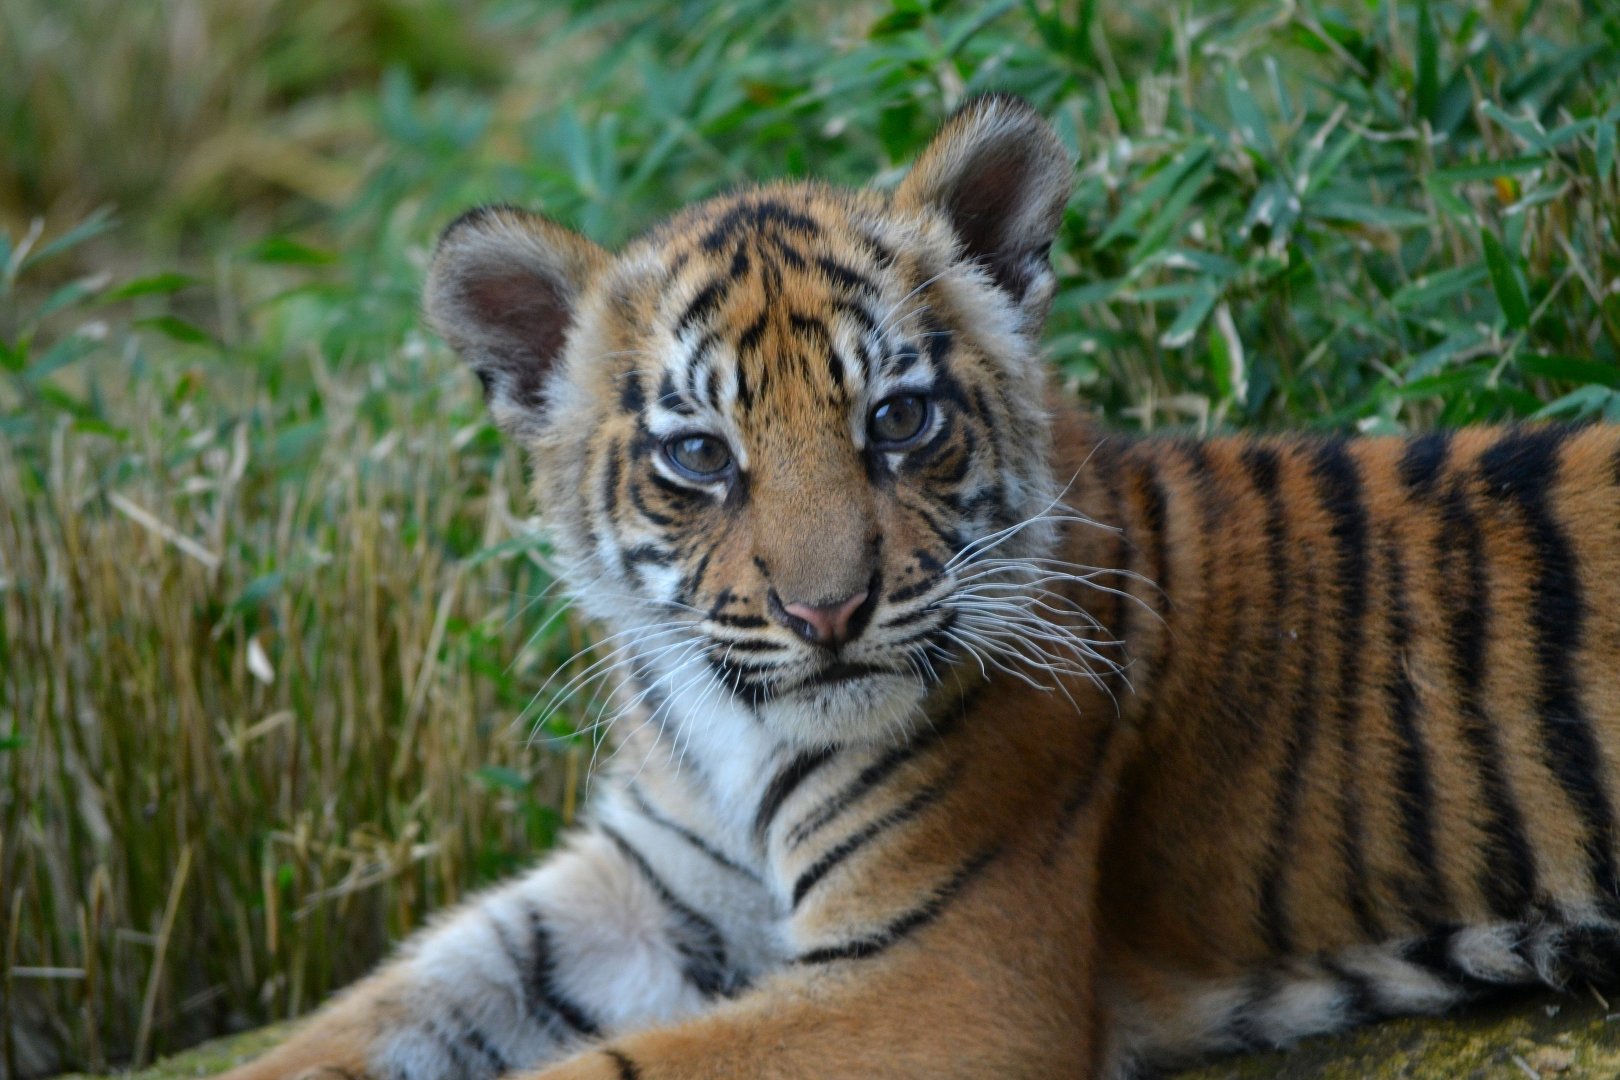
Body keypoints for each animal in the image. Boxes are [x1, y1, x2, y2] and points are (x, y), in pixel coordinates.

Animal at [217, 94, 1620, 1080]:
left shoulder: (937, 982)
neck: (727, 731)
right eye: (698, 455)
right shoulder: (655, 885)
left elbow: (604, 1068)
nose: (826, 614)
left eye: (896, 420)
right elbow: (399, 997)